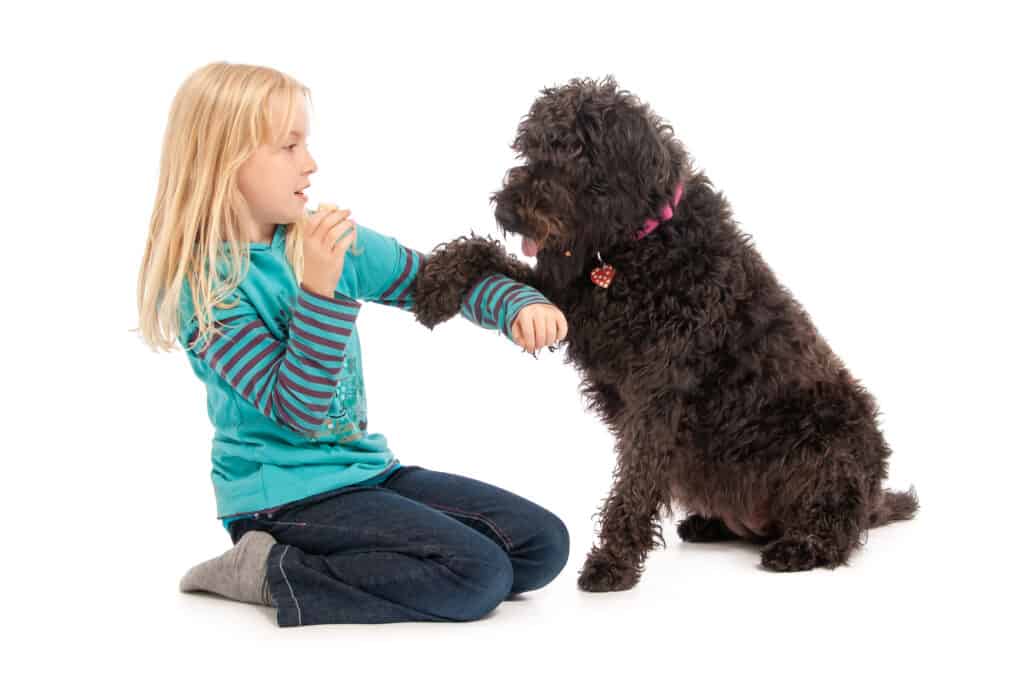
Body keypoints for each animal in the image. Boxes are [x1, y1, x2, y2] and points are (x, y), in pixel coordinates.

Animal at [409, 75, 921, 589]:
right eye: (530, 147)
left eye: (571, 151)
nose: (507, 211)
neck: (642, 246)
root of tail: (874, 496)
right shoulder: (569, 299)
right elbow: (490, 256)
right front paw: (436, 284)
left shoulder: (658, 395)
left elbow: (635, 483)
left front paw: (612, 562)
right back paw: (710, 525)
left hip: (831, 441)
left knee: (839, 526)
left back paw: (802, 547)